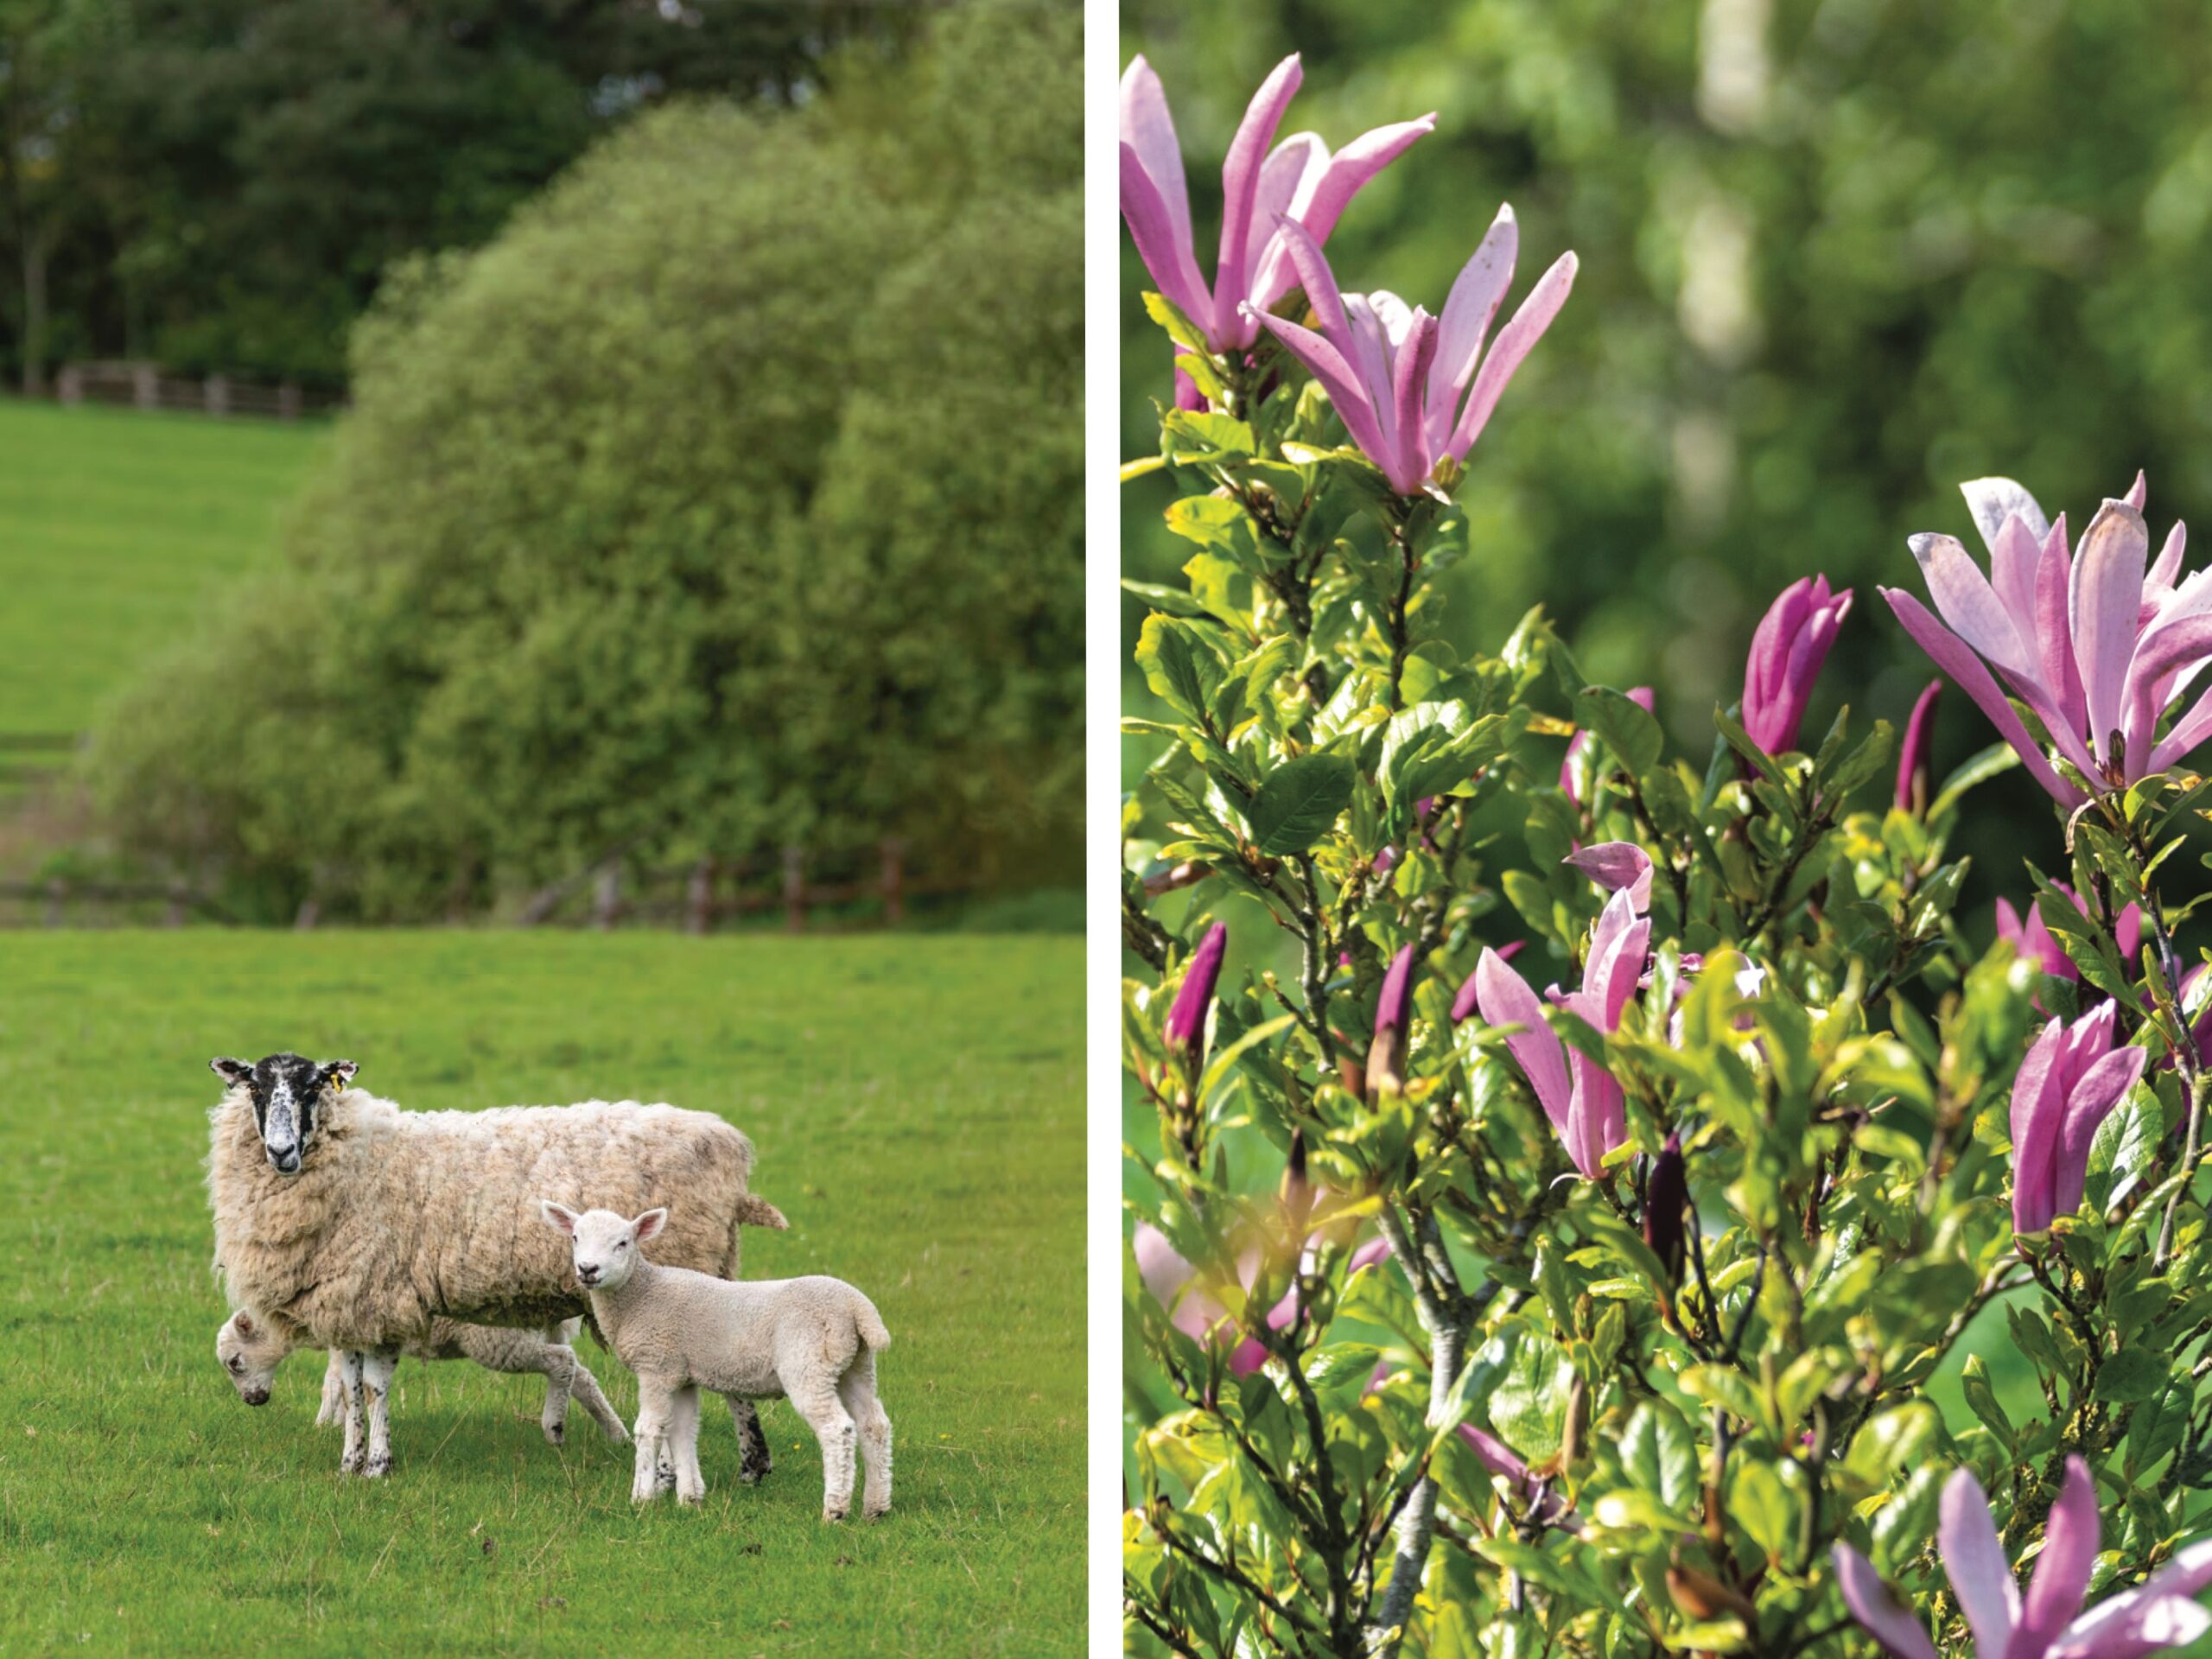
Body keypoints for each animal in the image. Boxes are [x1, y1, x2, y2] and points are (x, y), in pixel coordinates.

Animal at [217, 1308, 630, 1447]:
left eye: (236, 1362)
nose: (253, 1401)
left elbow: (333, 1383)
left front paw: (323, 1424)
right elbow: (346, 1384)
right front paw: (338, 1424)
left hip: (498, 1340)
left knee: (563, 1362)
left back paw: (554, 1426)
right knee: (582, 1375)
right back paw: (617, 1434)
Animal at [538, 1201, 892, 1521]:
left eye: (623, 1243)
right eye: (575, 1237)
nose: (588, 1270)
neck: (642, 1296)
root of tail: (857, 1306)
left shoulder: (656, 1366)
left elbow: (649, 1430)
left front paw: (641, 1497)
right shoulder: (681, 1374)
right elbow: (682, 1431)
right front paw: (690, 1498)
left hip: (808, 1363)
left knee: (837, 1429)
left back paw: (835, 1510)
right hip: (854, 1365)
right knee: (874, 1424)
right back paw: (876, 1507)